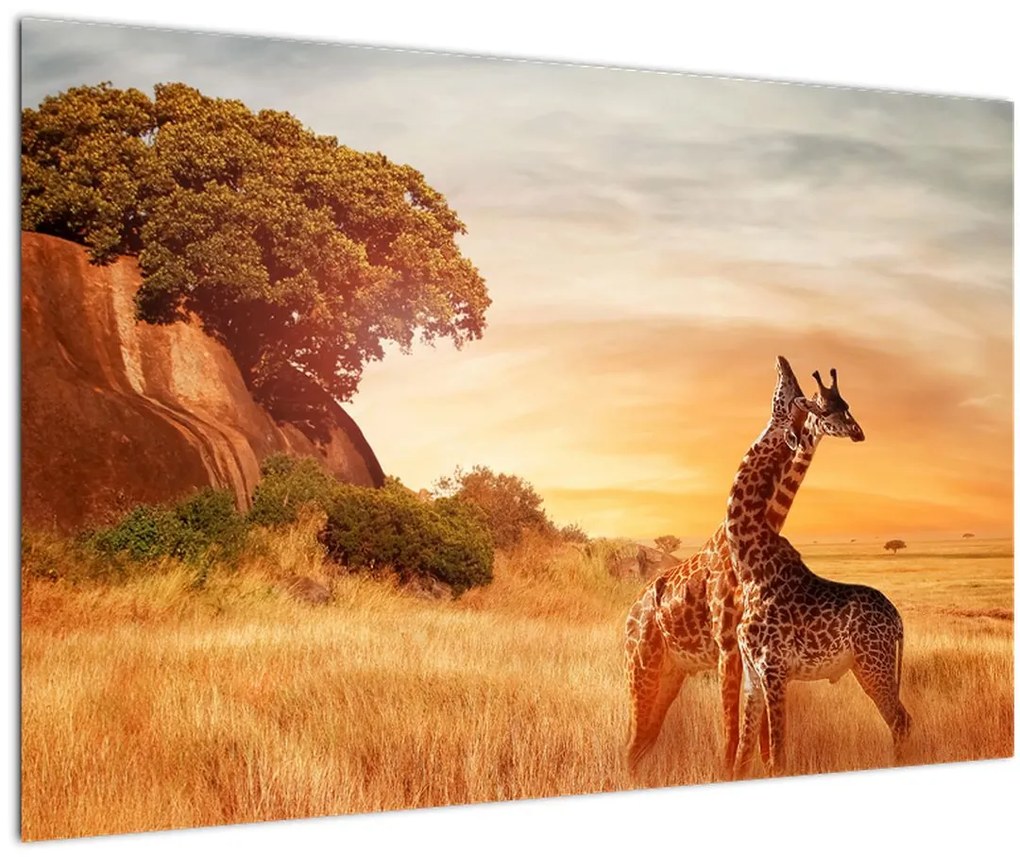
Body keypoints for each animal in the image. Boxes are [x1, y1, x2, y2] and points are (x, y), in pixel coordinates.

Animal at [624, 357, 862, 776]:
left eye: (841, 404)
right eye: (819, 403)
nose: (783, 361)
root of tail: (628, 618)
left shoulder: (752, 652)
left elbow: (758, 737)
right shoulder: (728, 646)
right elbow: (733, 734)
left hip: (669, 675)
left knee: (641, 743)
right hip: (642, 670)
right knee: (631, 743)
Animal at [725, 357, 910, 778]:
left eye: (792, 395)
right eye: (820, 404)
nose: (782, 362)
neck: (749, 563)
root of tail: (898, 621)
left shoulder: (774, 670)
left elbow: (777, 755)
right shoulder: (752, 674)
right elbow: (743, 755)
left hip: (873, 664)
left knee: (899, 721)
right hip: (870, 666)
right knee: (903, 719)